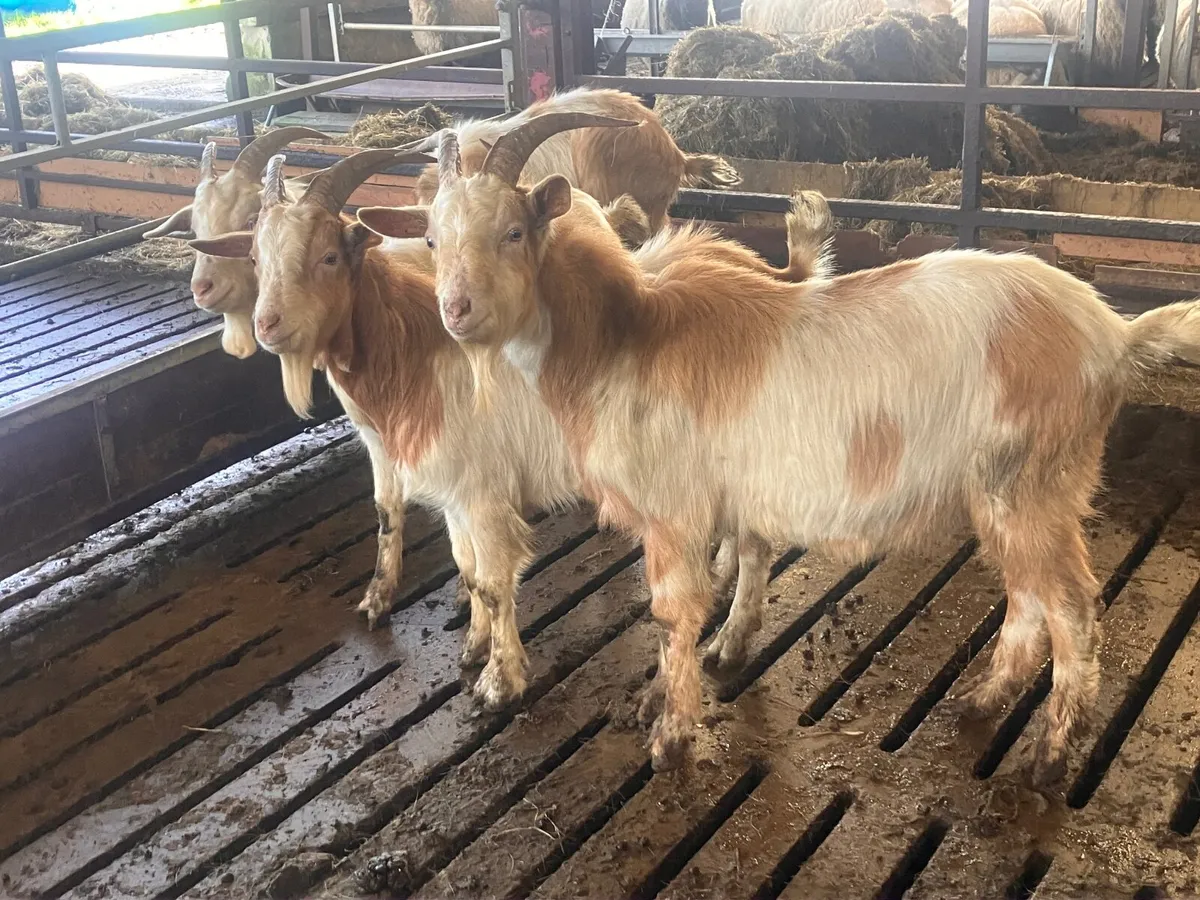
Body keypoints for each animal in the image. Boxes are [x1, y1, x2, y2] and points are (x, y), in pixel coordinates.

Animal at [189, 149, 829, 706]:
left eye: (328, 257)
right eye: (255, 258)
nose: (268, 325)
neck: (412, 353)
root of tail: (772, 275)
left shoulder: (482, 492)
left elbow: (495, 584)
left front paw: (500, 679)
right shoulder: (450, 490)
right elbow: (465, 569)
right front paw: (473, 645)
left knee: (758, 543)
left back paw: (728, 641)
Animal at [377, 110, 1200, 781]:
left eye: (512, 231)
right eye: (432, 238)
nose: (455, 311)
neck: (623, 339)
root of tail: (1115, 334)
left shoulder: (673, 512)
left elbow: (673, 613)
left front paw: (670, 735)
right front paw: (669, 696)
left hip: (1032, 481)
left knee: (1071, 607)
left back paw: (1050, 754)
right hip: (1008, 493)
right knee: (1029, 600)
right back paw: (981, 701)